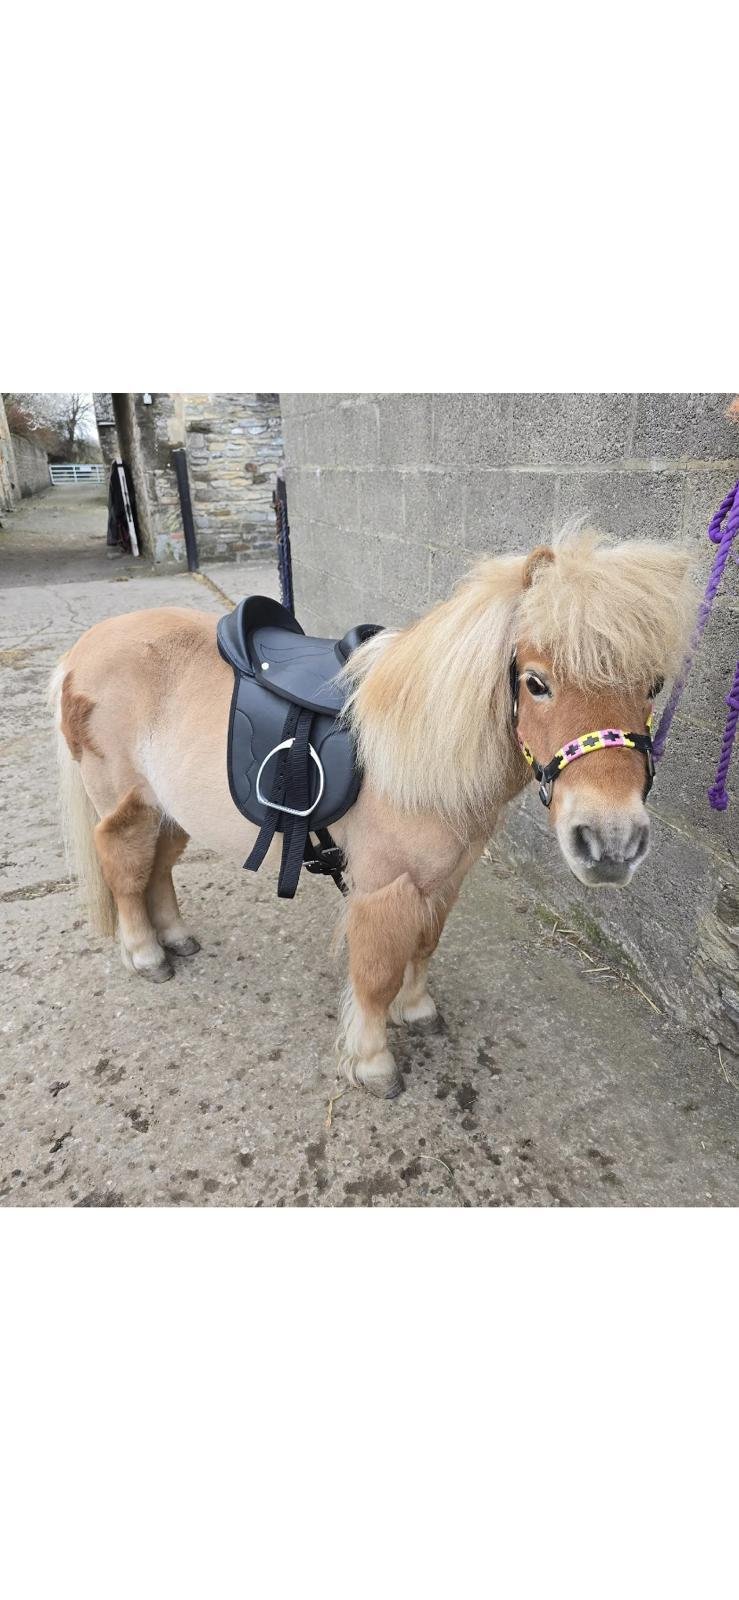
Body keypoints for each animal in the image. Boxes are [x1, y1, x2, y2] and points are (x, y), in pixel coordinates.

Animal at [50, 526, 695, 1099]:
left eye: (652, 685)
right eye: (536, 683)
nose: (611, 843)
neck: (419, 751)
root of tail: (82, 649)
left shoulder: (444, 880)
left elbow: (423, 946)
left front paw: (417, 1010)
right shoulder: (385, 886)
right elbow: (377, 971)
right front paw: (372, 1063)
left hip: (169, 812)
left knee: (158, 867)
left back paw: (177, 937)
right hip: (128, 807)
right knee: (126, 869)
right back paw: (144, 953)